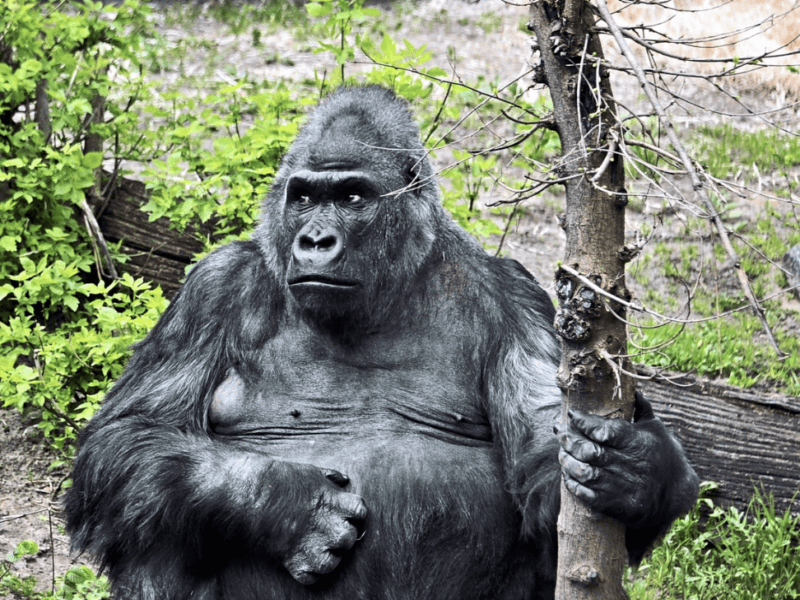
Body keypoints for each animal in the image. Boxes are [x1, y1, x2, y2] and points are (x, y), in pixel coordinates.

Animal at [64, 85, 700, 600]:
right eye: (303, 197)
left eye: (351, 198)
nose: (314, 241)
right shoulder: (210, 290)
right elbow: (128, 436)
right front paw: (291, 504)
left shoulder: (517, 297)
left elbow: (544, 473)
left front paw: (643, 473)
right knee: (157, 508)